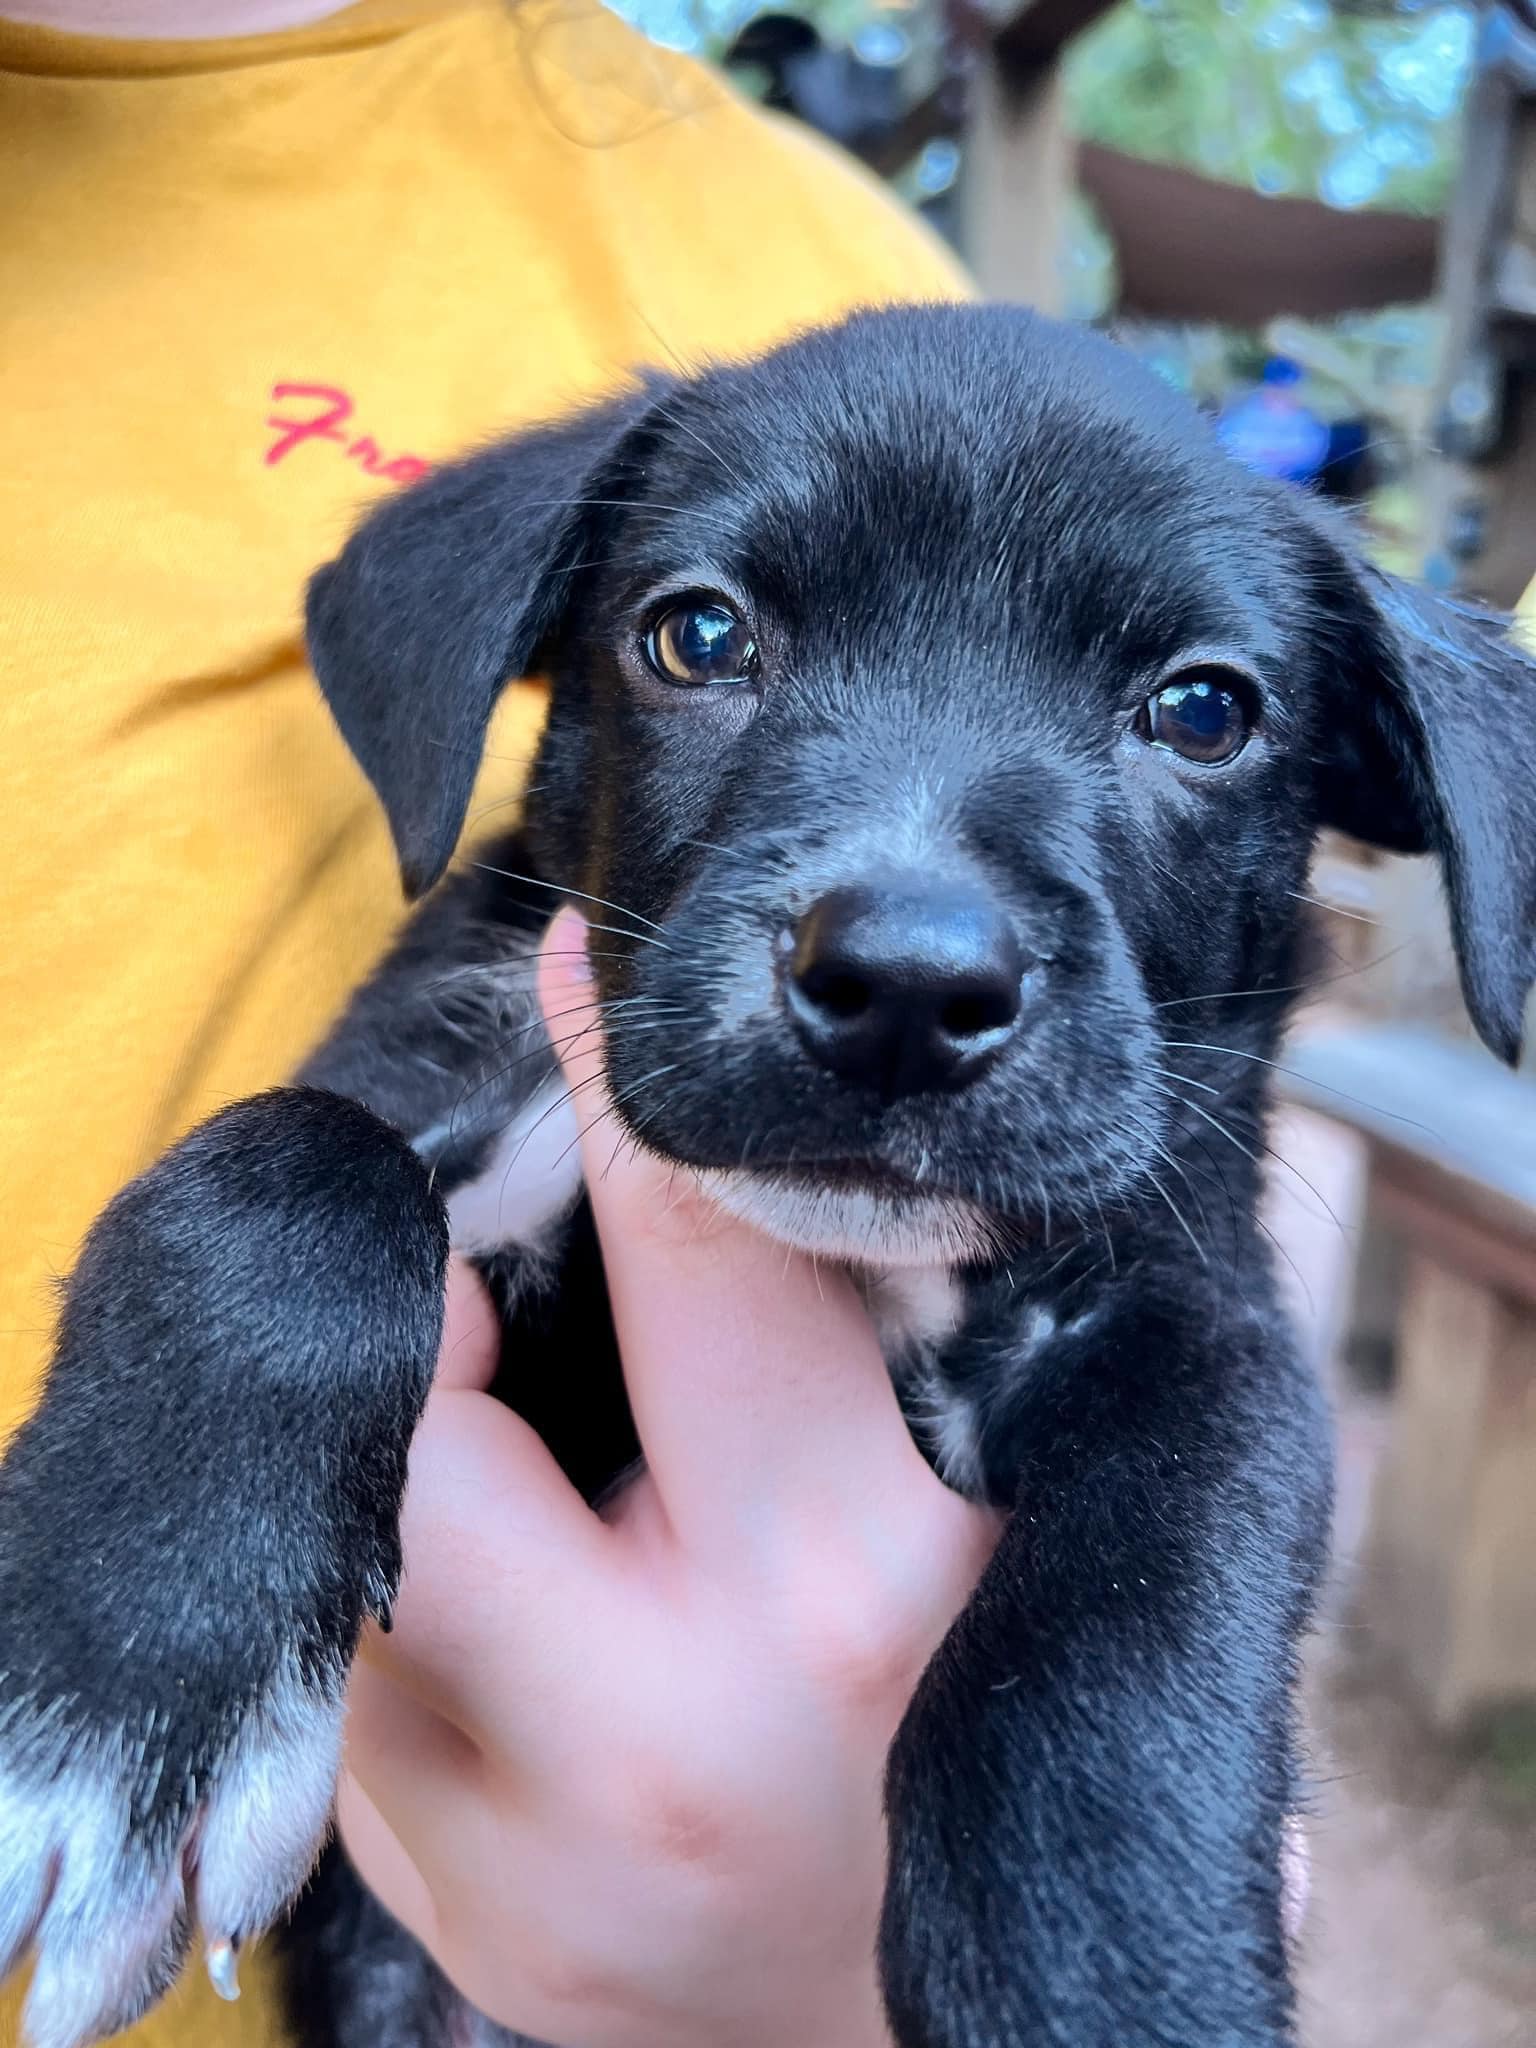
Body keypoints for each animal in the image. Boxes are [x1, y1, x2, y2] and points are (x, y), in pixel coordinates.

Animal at [3, 303, 1536, 2048]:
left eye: (1204, 711)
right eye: (699, 636)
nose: (906, 989)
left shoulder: (1200, 1319)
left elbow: (1147, 1585)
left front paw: (1108, 1963)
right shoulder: (428, 1081)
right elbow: (278, 1170)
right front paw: (133, 1676)